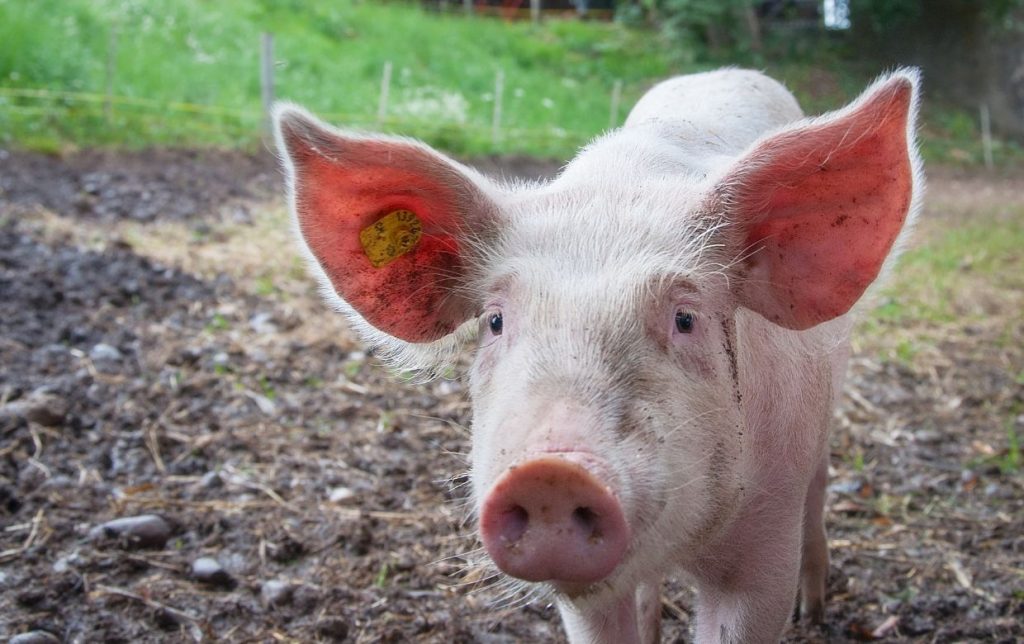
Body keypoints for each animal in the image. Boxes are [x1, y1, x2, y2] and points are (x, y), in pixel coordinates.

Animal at [274, 68, 922, 643]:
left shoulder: (764, 549)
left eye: (685, 319)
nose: (551, 473)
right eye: (495, 321)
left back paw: (814, 613)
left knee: (820, 490)